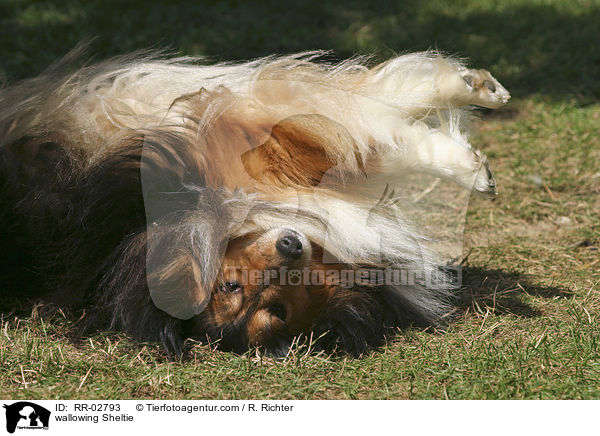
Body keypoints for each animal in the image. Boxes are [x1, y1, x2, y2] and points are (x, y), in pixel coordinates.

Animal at [0, 50, 508, 358]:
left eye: (227, 284)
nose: (291, 247)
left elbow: (373, 130)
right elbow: (377, 137)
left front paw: (469, 102)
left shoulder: (239, 147)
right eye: (274, 310)